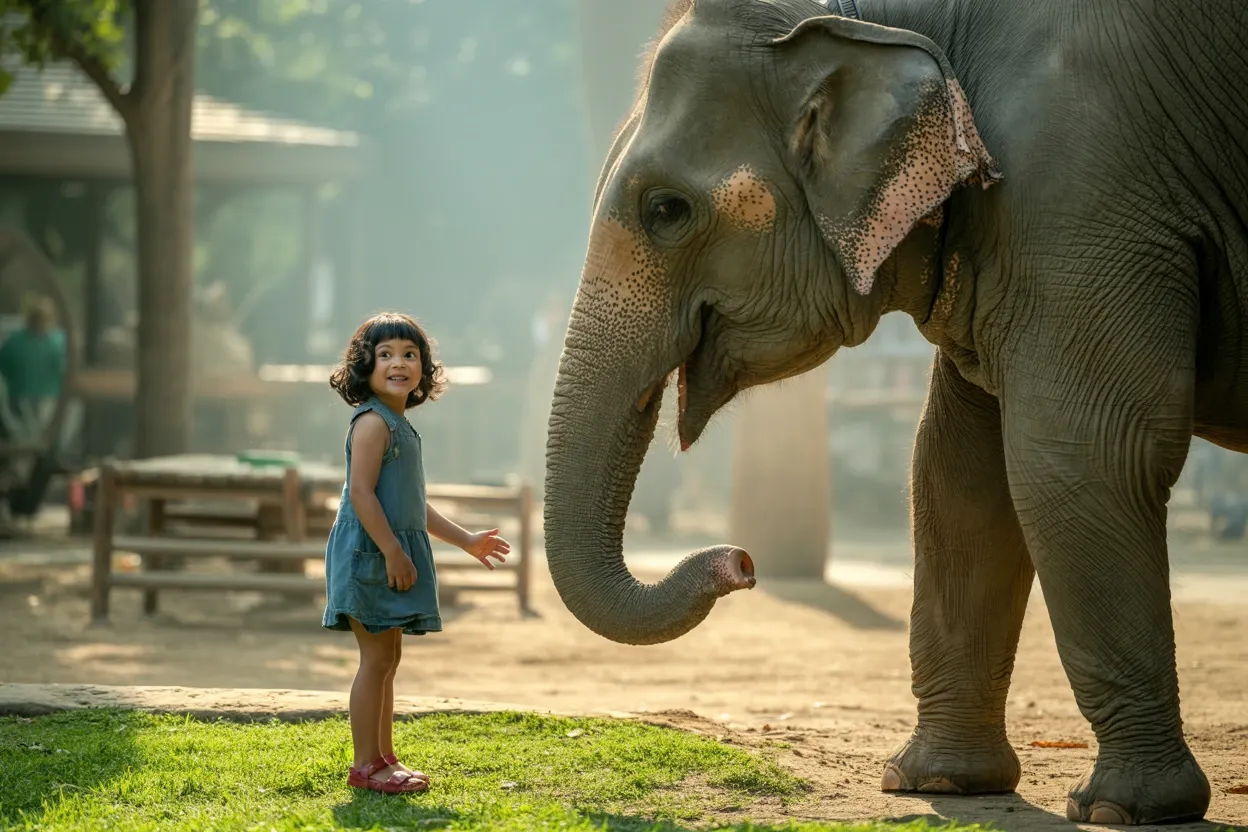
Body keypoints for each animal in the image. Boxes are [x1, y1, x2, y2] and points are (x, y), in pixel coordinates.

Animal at [544, 0, 1247, 824]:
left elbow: (1079, 458)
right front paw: (937, 783)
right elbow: (957, 473)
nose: (740, 561)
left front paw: (1122, 809)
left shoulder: (1083, 179)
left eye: (666, 210)